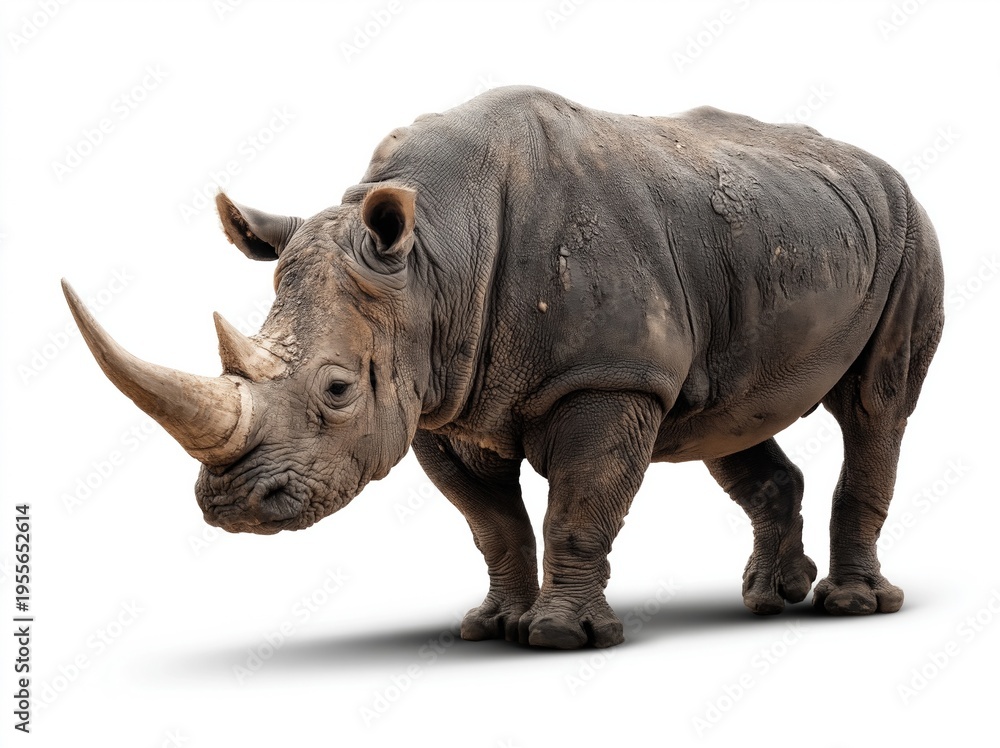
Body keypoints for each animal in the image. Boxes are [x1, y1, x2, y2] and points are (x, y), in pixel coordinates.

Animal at [63, 86, 944, 649]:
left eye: (338, 390)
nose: (233, 506)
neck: (433, 260)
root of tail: (878, 166)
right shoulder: (438, 396)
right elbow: (491, 523)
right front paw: (492, 627)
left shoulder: (608, 375)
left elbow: (579, 507)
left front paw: (561, 637)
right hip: (769, 241)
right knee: (729, 420)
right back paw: (769, 598)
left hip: (908, 231)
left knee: (877, 408)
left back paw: (853, 607)